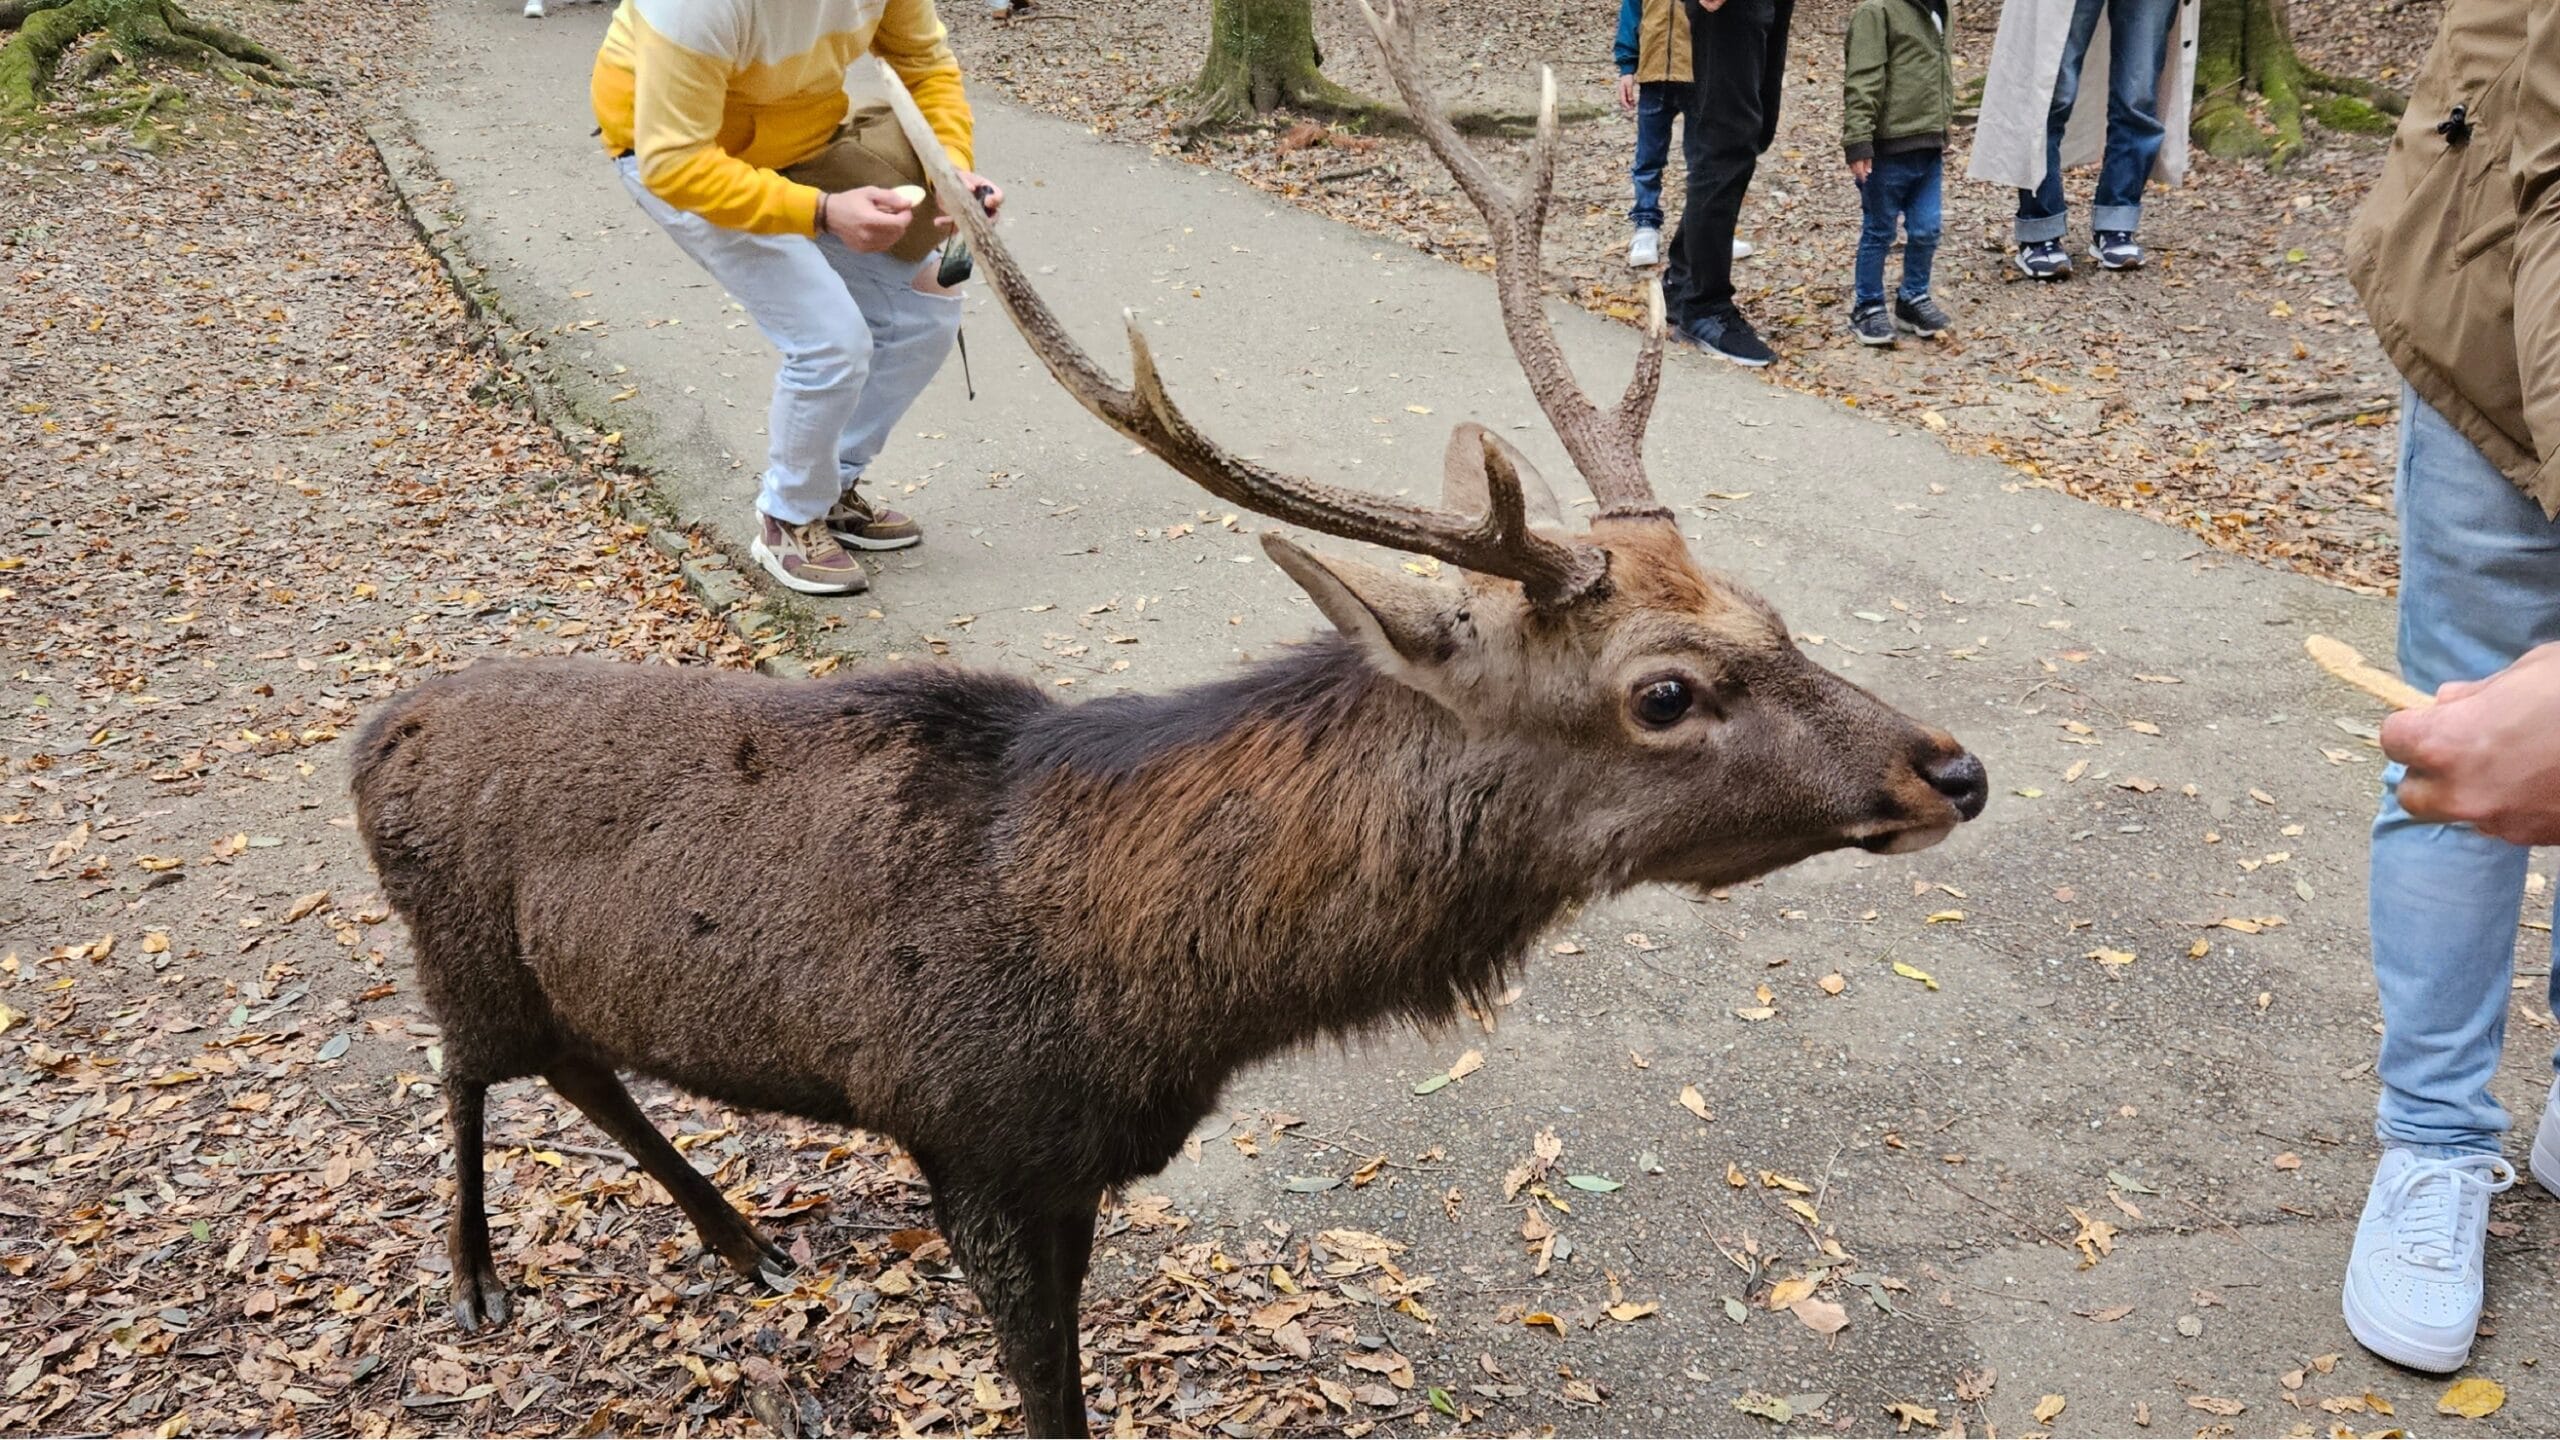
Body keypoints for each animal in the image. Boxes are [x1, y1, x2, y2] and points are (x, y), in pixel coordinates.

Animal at [349, 6, 1988, 1435]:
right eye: (1662, 693)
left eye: (1766, 604)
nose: (1953, 767)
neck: (1152, 994)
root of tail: (373, 740)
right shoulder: (977, 1143)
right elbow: (1045, 1396)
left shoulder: (1073, 1168)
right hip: (460, 953)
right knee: (460, 1070)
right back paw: (479, 1277)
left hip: (554, 982)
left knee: (581, 1069)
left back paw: (742, 1238)